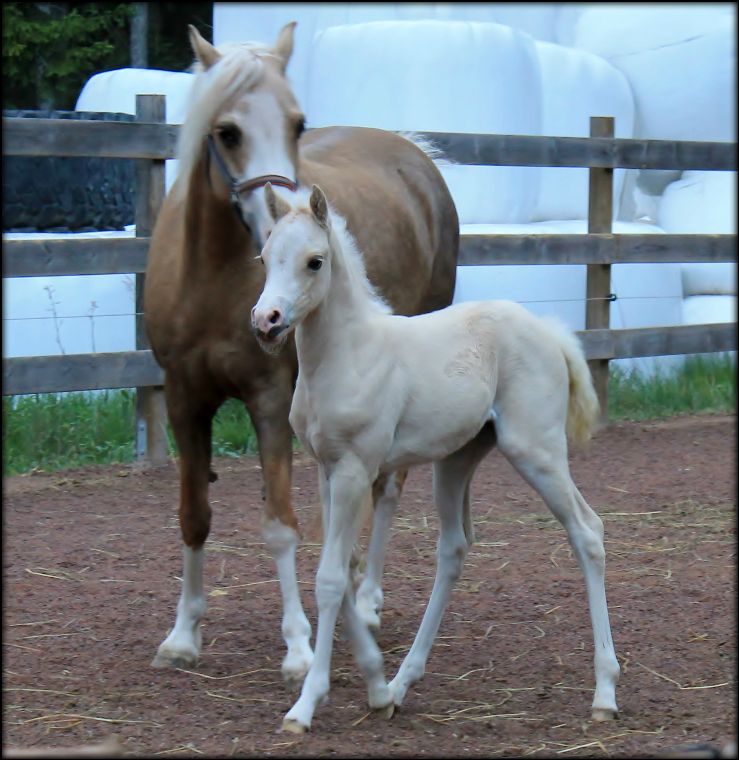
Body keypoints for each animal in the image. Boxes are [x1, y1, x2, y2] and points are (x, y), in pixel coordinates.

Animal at [251, 183, 620, 732]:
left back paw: (604, 693)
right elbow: (344, 567)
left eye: (314, 261)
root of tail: (549, 332)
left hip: (536, 450)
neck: (349, 355)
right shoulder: (325, 470)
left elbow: (333, 578)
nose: (266, 321)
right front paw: (376, 686)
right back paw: (403, 682)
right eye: (265, 256)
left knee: (587, 530)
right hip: (455, 463)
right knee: (454, 549)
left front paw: (306, 705)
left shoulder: (356, 469)